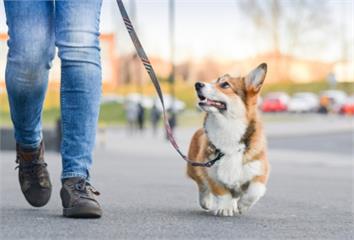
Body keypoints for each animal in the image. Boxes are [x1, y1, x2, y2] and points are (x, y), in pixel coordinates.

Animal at [188, 62, 268, 217]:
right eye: (214, 81)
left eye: (225, 85)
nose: (197, 84)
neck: (228, 128)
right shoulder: (211, 172)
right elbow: (222, 192)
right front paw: (225, 208)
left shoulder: (260, 171)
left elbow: (254, 190)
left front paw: (243, 205)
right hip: (194, 167)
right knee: (202, 185)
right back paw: (206, 201)